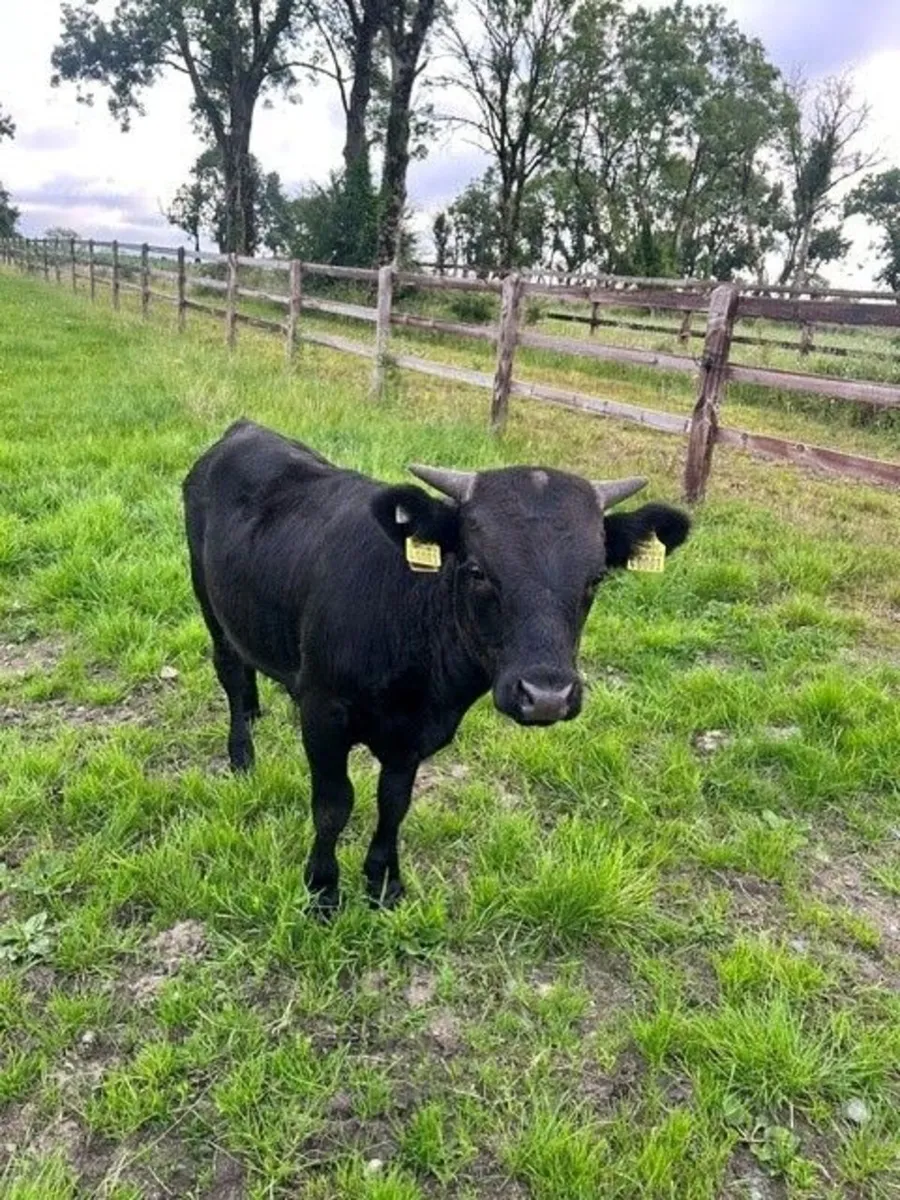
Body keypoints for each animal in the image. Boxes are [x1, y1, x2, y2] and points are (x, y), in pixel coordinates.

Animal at [183, 419, 690, 914]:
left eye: (595, 578)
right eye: (477, 570)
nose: (547, 696)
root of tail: (245, 430)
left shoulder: (420, 732)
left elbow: (394, 802)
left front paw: (384, 882)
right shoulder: (322, 711)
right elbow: (333, 804)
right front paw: (323, 890)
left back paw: (255, 711)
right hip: (208, 600)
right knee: (230, 670)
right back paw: (242, 753)